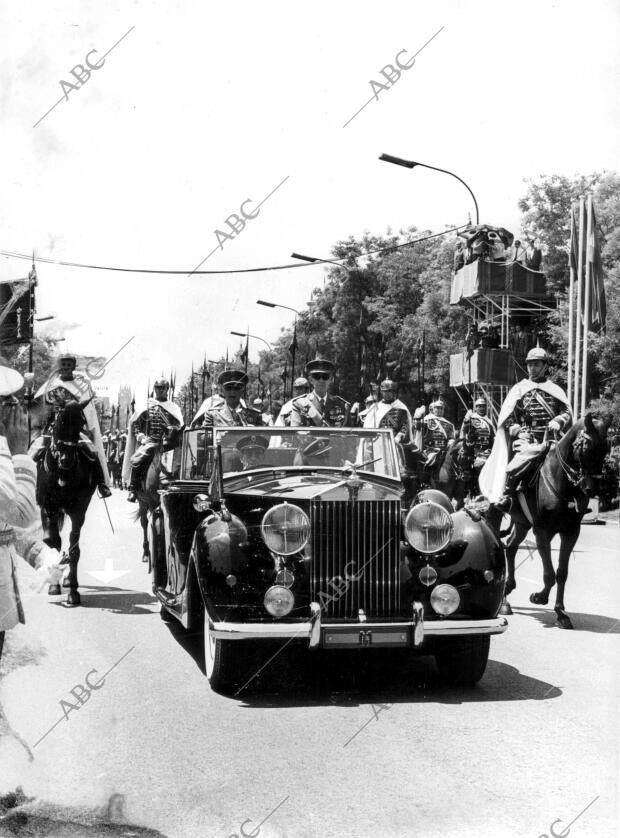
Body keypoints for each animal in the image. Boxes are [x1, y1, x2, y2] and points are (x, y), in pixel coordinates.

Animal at [36, 400, 98, 604]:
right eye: (59, 422)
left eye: (81, 424)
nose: (67, 460)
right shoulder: (46, 503)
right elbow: (51, 540)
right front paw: (54, 583)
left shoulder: (79, 509)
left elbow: (74, 548)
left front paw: (72, 588)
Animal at [490, 414, 612, 632]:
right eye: (586, 447)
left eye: (605, 449)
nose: (591, 489)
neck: (560, 481)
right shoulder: (541, 531)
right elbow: (549, 573)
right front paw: (539, 597)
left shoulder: (571, 532)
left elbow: (561, 573)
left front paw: (561, 612)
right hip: (499, 514)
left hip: (522, 523)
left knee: (511, 547)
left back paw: (506, 597)